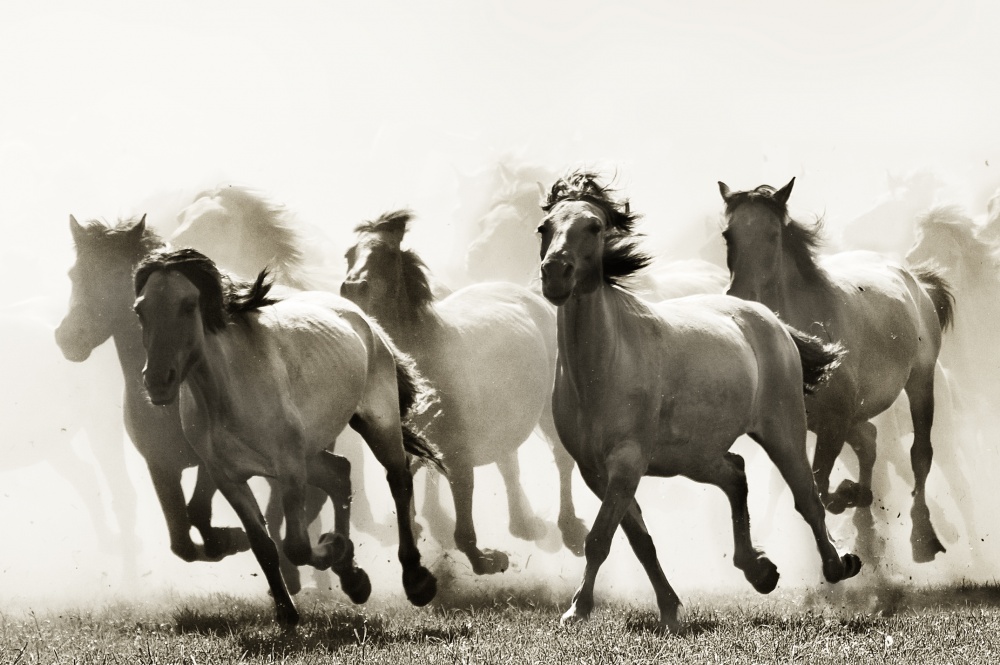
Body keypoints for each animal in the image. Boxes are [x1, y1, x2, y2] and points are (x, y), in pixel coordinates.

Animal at [132, 248, 442, 625]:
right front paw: (287, 611)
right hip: (311, 451)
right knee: (340, 473)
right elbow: (263, 545)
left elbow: (295, 545)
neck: (228, 391)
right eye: (140, 309)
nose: (157, 381)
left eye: (189, 305)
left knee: (397, 479)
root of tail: (363, 318)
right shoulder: (228, 477)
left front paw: (332, 548)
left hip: (377, 423)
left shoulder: (289, 468)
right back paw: (353, 579)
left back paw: (416, 580)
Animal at [340, 209, 589, 574]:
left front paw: (486, 559)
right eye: (349, 255)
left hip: (547, 408)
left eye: (386, 255)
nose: (352, 288)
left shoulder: (458, 452)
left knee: (561, 459)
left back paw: (569, 530)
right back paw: (524, 525)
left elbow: (462, 523)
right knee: (508, 463)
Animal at [537, 170, 860, 633]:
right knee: (736, 474)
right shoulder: (595, 471)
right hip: (695, 456)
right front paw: (670, 608)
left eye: (594, 227)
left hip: (782, 432)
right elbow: (639, 541)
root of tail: (771, 319)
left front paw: (576, 609)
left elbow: (599, 538)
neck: (602, 367)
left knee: (808, 498)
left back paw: (838, 565)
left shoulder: (627, 462)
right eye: (544, 228)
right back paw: (759, 571)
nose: (555, 274)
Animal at [719, 178, 954, 564]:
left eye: (773, 234)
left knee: (920, 454)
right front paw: (854, 498)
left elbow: (820, 485)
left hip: (920, 381)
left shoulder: (835, 420)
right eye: (728, 234)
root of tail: (915, 280)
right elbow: (818, 485)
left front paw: (849, 497)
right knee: (869, 441)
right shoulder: (810, 424)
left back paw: (923, 538)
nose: (741, 295)